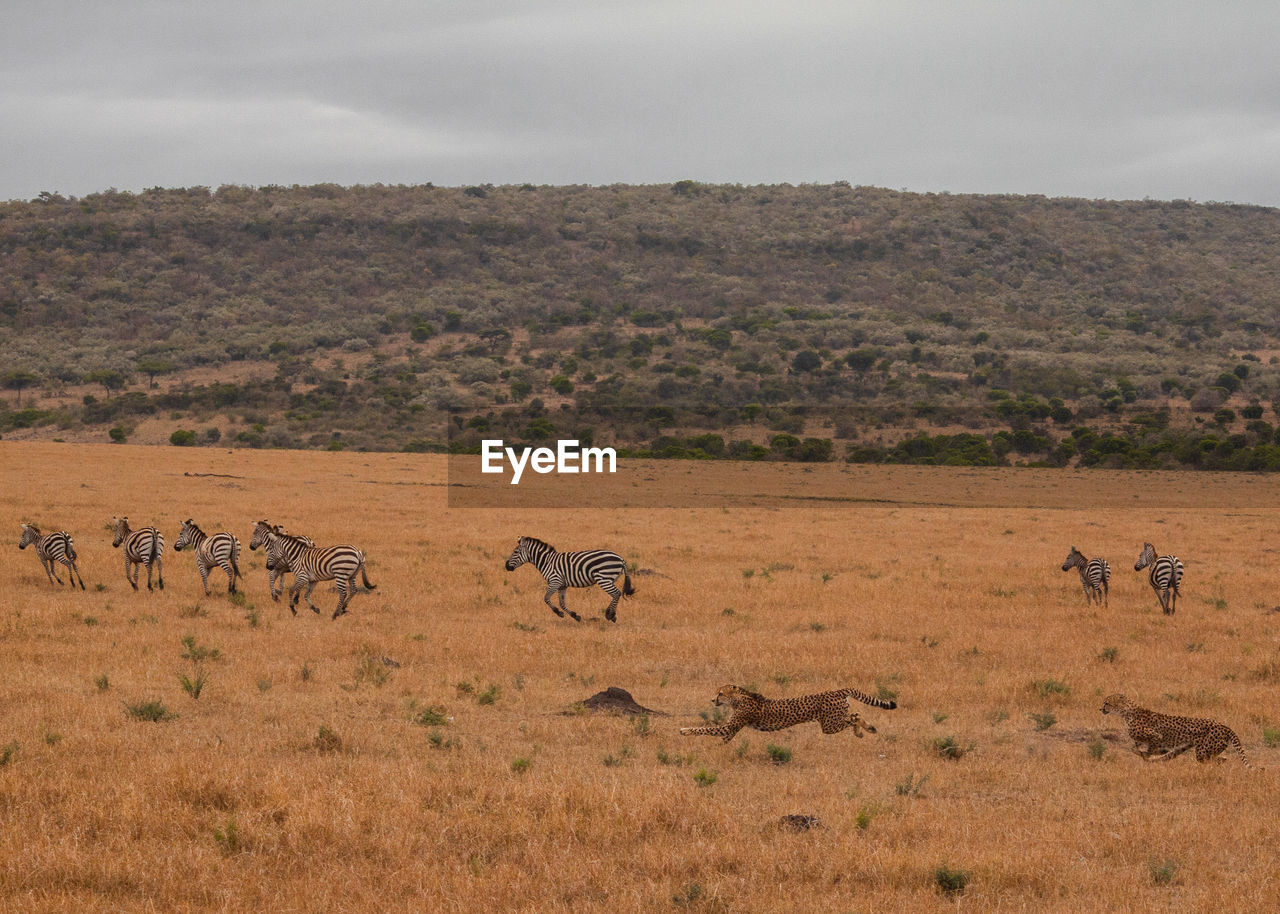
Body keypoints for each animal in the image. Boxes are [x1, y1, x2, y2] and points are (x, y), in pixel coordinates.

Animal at [504, 535, 634, 619]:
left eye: (515, 552)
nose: (506, 566)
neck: (547, 561)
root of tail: (621, 559)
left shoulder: (555, 581)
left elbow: (546, 598)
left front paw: (558, 613)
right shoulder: (562, 585)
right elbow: (562, 603)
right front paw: (575, 616)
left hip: (604, 578)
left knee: (616, 593)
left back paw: (610, 615)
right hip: (609, 579)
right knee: (615, 594)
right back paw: (610, 613)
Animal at [675, 686, 896, 742]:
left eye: (720, 693)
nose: (713, 700)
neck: (738, 699)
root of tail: (837, 691)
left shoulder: (728, 728)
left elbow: (704, 728)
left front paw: (684, 730)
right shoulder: (730, 732)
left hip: (829, 725)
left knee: (853, 718)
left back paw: (861, 730)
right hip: (832, 722)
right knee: (856, 714)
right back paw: (868, 729)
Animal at [1100, 691, 1249, 762]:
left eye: (1107, 703)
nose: (1100, 709)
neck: (1126, 712)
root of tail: (1224, 726)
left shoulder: (1156, 736)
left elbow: (1149, 749)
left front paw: (1146, 755)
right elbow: (1139, 749)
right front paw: (1148, 755)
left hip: (1202, 751)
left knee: (1216, 759)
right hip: (1189, 746)